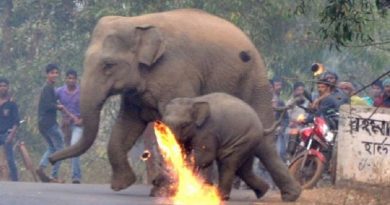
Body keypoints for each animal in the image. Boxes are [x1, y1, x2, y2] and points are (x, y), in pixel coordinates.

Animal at [50, 8, 276, 192]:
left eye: (108, 65)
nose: (51, 160)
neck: (138, 22)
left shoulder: (175, 74)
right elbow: (127, 125)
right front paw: (122, 185)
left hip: (255, 81)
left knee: (263, 141)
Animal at [160, 93, 300, 202]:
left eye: (185, 124)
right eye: (164, 123)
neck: (193, 100)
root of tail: (260, 126)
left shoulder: (207, 131)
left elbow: (205, 157)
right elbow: (185, 151)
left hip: (244, 139)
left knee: (228, 163)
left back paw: (221, 196)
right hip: (249, 142)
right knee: (246, 168)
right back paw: (266, 192)